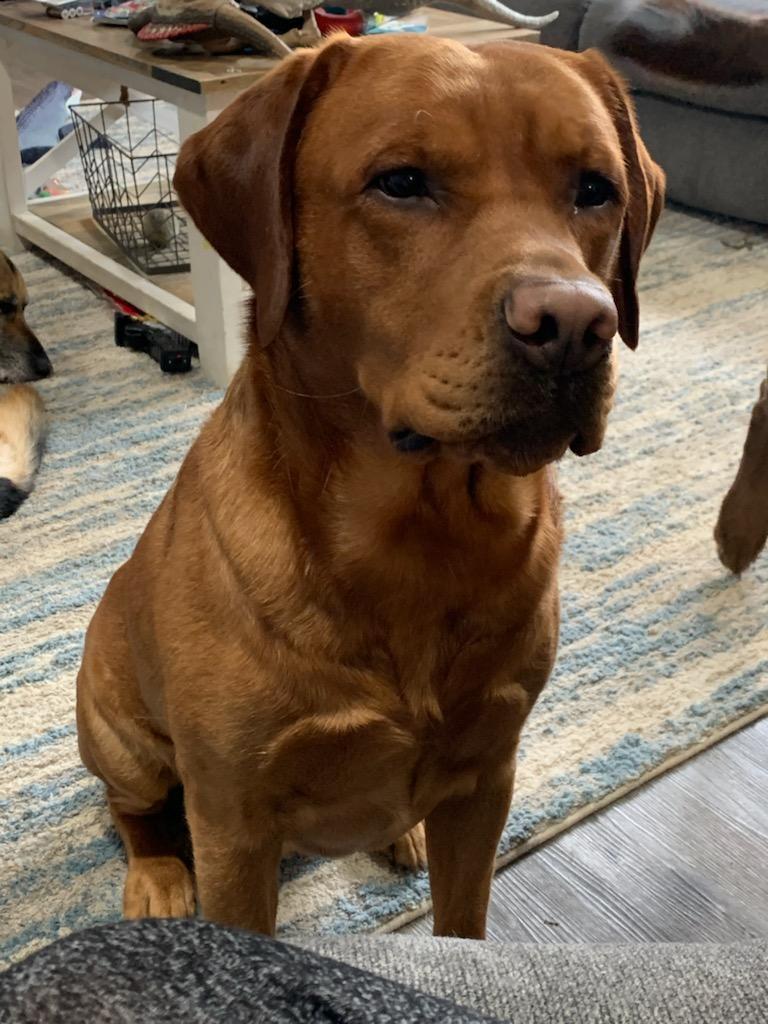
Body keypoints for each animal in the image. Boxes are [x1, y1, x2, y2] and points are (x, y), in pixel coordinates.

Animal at [76, 34, 664, 939]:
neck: (426, 534)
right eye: (402, 182)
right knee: (133, 810)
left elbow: (464, 921)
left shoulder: (487, 781)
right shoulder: (234, 826)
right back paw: (158, 877)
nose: (575, 324)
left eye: (596, 189)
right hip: (118, 733)